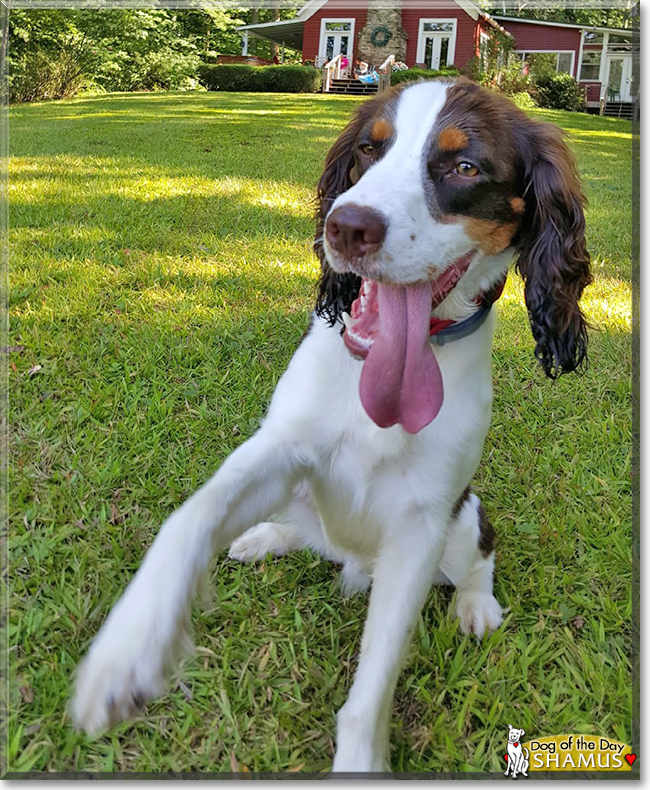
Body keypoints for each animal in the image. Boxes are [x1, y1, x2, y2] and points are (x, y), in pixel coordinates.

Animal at [73, 80, 588, 772]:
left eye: (465, 166)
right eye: (369, 149)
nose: (344, 226)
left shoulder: (423, 524)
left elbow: (377, 675)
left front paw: (360, 758)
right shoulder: (281, 447)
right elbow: (190, 516)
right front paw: (127, 650)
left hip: (463, 520)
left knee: (480, 552)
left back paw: (476, 605)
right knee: (306, 531)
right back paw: (264, 537)